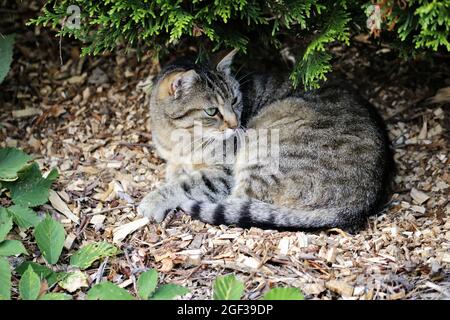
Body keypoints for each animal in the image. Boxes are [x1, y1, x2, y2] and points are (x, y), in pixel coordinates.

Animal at [138, 50, 394, 231]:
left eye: (235, 100)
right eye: (212, 111)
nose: (236, 124)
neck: (180, 138)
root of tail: (362, 204)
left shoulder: (224, 173)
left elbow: (184, 184)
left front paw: (153, 200)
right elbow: (176, 171)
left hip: (263, 152)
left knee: (240, 202)